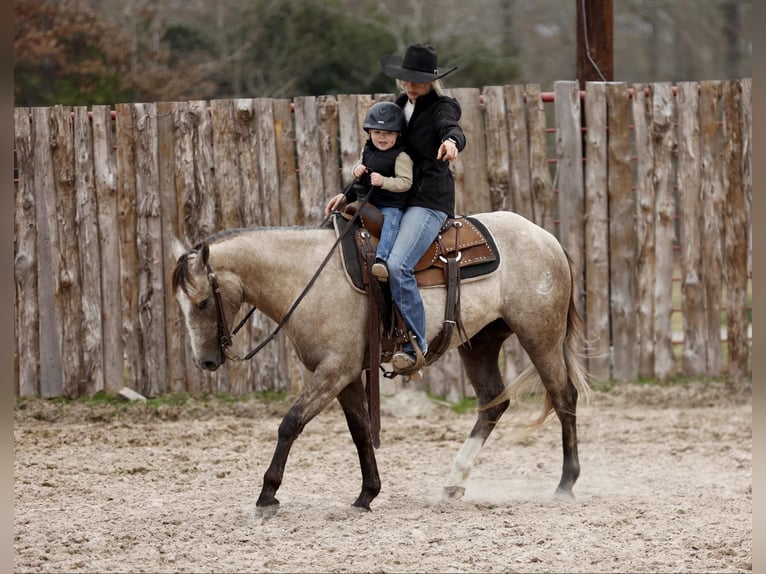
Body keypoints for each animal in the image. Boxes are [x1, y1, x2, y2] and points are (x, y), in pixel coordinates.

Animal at [172, 210, 592, 516]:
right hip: (480, 344)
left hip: (540, 335)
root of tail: (547, 238)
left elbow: (291, 423)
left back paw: (566, 483)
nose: (206, 361)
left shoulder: (334, 370)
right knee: (493, 402)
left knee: (563, 397)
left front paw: (267, 495)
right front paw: (367, 494)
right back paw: (455, 480)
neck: (310, 278)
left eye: (203, 302)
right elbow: (360, 430)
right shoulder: (345, 375)